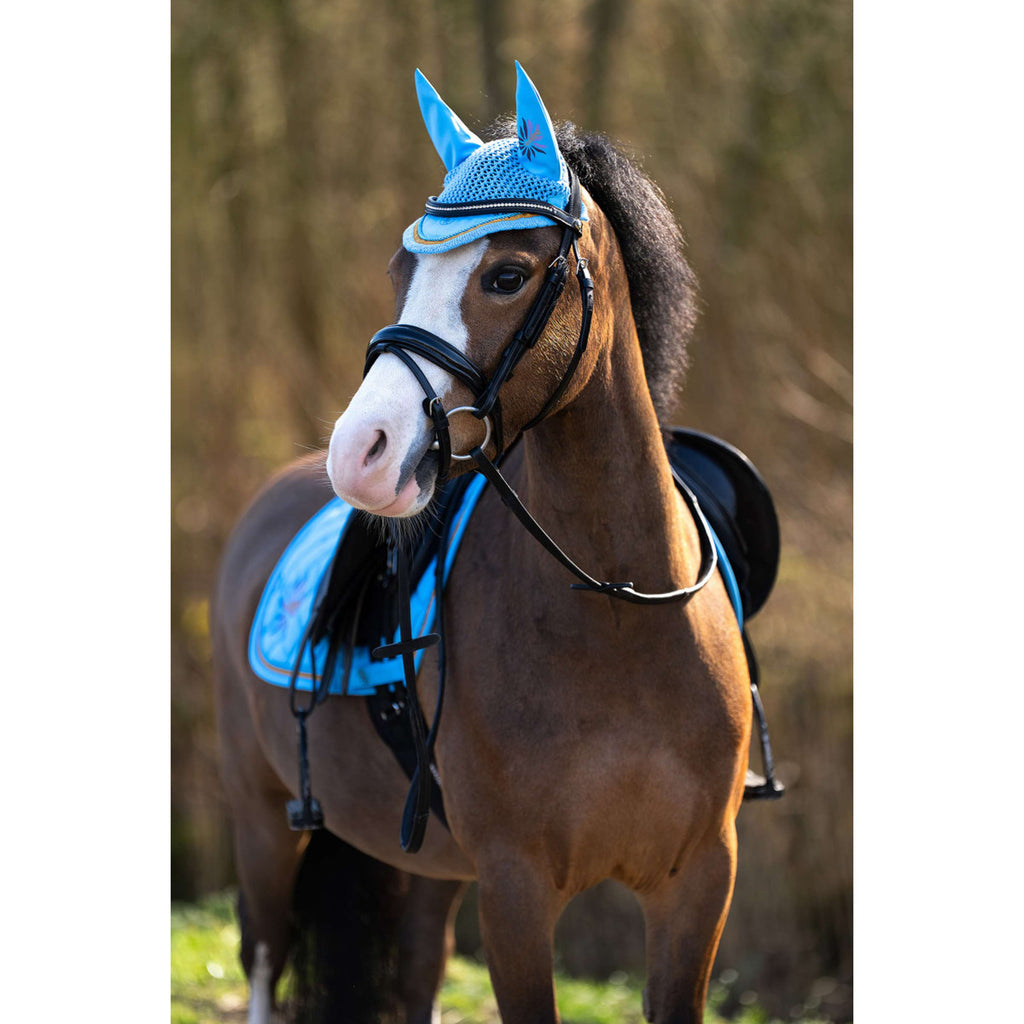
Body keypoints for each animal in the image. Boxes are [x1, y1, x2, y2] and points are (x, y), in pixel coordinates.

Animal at [212, 63, 753, 1024]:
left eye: (506, 274)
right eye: (402, 268)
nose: (361, 452)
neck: (618, 608)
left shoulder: (698, 886)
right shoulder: (516, 889)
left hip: (430, 868)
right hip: (263, 818)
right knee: (266, 958)